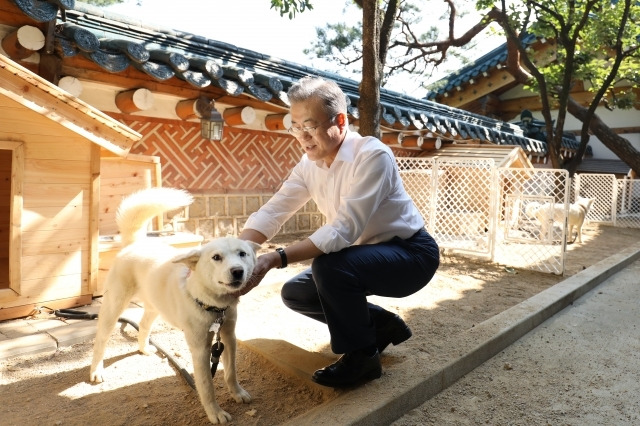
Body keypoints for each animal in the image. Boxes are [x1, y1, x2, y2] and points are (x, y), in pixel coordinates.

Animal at [89, 188, 262, 424]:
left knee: (143, 325)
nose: (237, 271)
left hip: (154, 307)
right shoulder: (200, 349)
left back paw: (144, 348)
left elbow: (231, 372)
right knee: (101, 340)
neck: (212, 306)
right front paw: (215, 413)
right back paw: (96, 371)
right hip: (113, 307)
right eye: (216, 257)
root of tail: (135, 243)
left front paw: (237, 393)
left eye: (242, 254)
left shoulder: (228, 337)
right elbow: (206, 386)